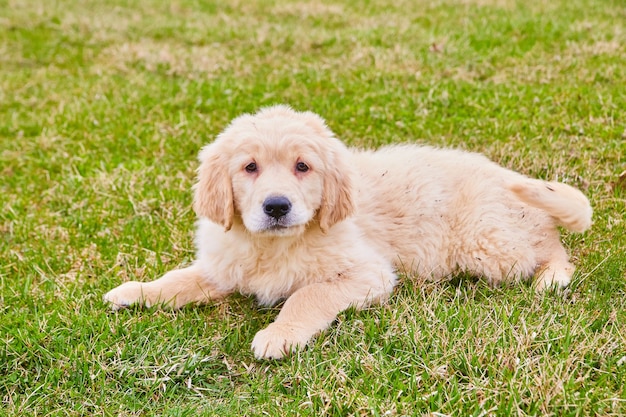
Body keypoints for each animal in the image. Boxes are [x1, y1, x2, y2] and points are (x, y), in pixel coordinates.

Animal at [102, 105, 588, 358]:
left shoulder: (367, 273)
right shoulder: (225, 265)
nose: (276, 206)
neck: (275, 245)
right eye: (249, 167)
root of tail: (504, 173)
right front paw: (135, 291)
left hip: (488, 244)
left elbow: (307, 295)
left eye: (302, 166)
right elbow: (180, 279)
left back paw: (552, 277)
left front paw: (279, 335)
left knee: (550, 243)